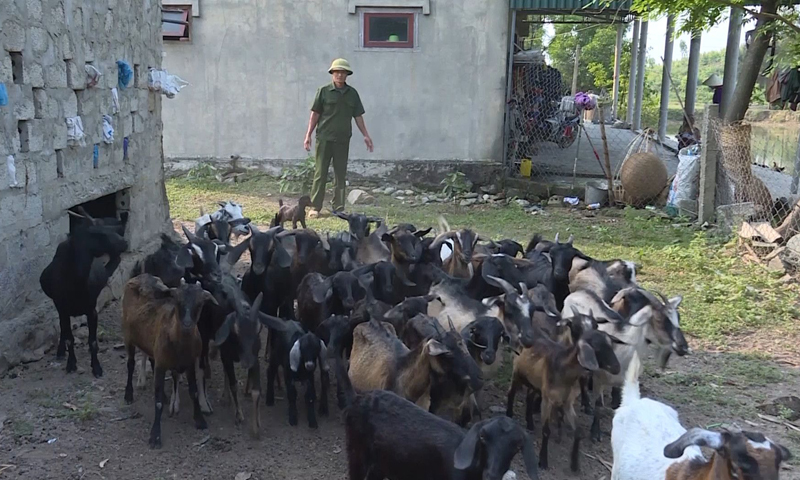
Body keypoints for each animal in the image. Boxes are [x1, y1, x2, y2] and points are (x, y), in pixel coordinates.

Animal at [40, 214, 127, 376]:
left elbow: (92, 341)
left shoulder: (91, 310)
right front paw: (71, 364)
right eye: (99, 234)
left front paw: (97, 367)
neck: (76, 283)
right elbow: (69, 338)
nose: (125, 242)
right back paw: (60, 352)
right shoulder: (63, 309)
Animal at [122, 274, 217, 450]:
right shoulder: (161, 365)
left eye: (200, 304)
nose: (187, 325)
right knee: (130, 364)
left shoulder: (189, 364)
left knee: (150, 360)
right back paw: (129, 394)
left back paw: (166, 396)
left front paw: (200, 420)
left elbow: (194, 392)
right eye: (178, 301)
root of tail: (142, 276)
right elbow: (158, 402)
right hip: (128, 336)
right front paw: (155, 436)